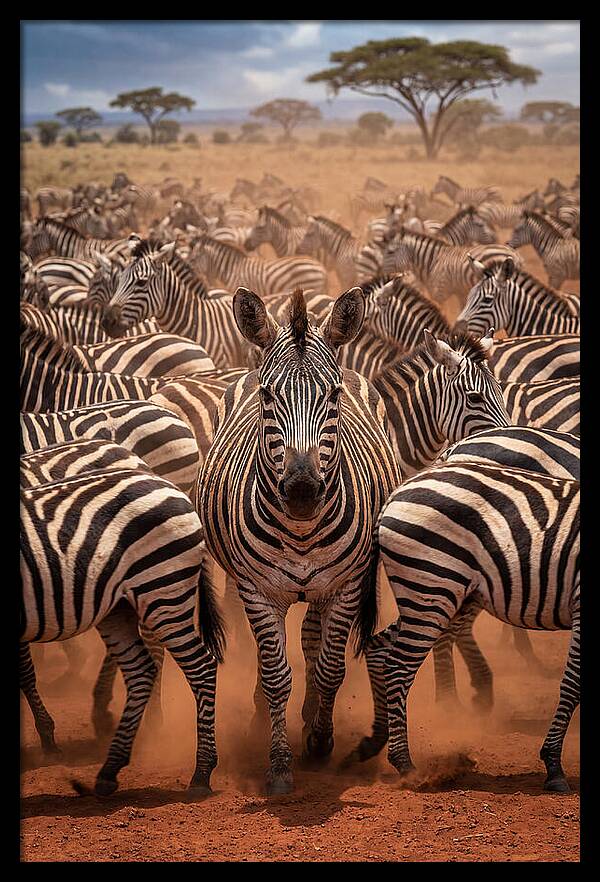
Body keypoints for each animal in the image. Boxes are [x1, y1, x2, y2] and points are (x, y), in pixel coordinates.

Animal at [21, 459, 226, 796]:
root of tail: (172, 487)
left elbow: (25, 672)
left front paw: (48, 740)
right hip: (120, 607)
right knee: (141, 670)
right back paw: (109, 769)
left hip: (162, 590)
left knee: (201, 667)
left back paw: (201, 773)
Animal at [198, 287, 400, 794]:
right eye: (268, 396)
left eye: (333, 396)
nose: (303, 491)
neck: (303, 531)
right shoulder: (257, 590)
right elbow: (274, 674)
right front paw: (279, 764)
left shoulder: (347, 585)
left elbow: (330, 667)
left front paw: (320, 741)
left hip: (327, 587)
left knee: (312, 636)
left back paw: (311, 716)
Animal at [347, 462, 579, 794]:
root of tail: (397, 492)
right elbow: (572, 685)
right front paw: (553, 766)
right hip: (432, 586)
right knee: (398, 666)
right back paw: (405, 764)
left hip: (430, 594)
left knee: (378, 647)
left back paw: (375, 740)